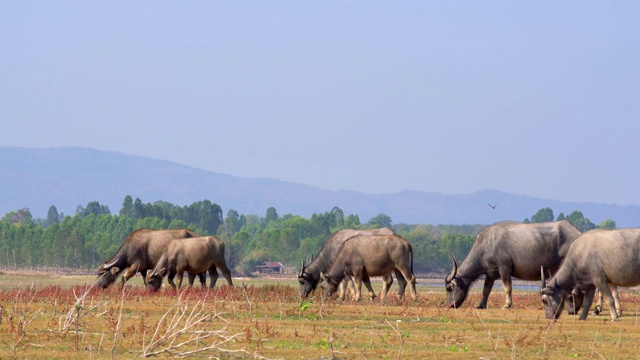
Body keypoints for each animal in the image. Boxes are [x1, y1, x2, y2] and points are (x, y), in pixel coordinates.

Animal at [444, 219, 580, 310]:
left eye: (449, 288)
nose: (451, 305)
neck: (487, 245)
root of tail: (577, 233)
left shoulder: (504, 268)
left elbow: (507, 287)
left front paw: (507, 305)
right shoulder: (490, 274)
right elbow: (486, 290)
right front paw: (481, 305)